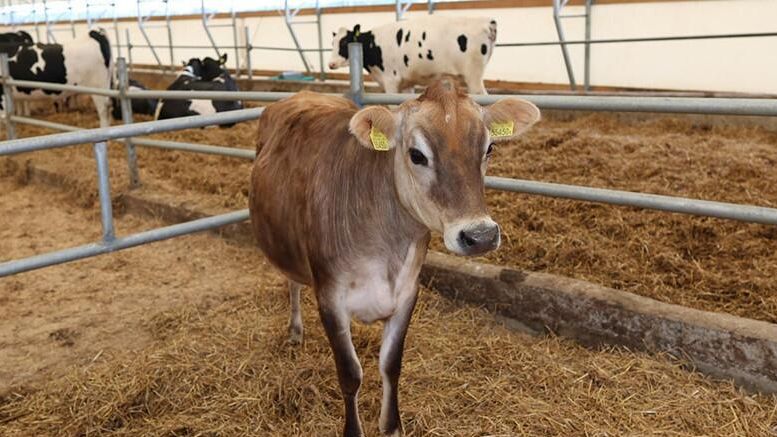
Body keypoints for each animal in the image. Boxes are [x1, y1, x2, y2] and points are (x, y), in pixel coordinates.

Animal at [249, 77, 540, 436]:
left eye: (489, 149)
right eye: (416, 154)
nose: (480, 236)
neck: (385, 249)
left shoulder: (407, 293)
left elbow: (391, 365)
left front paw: (392, 426)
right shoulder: (330, 297)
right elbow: (350, 373)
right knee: (292, 282)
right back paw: (294, 331)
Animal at [329, 16, 497, 94]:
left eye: (344, 43)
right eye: (332, 43)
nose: (331, 64)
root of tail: (487, 21)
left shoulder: (391, 80)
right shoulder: (406, 84)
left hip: (474, 77)